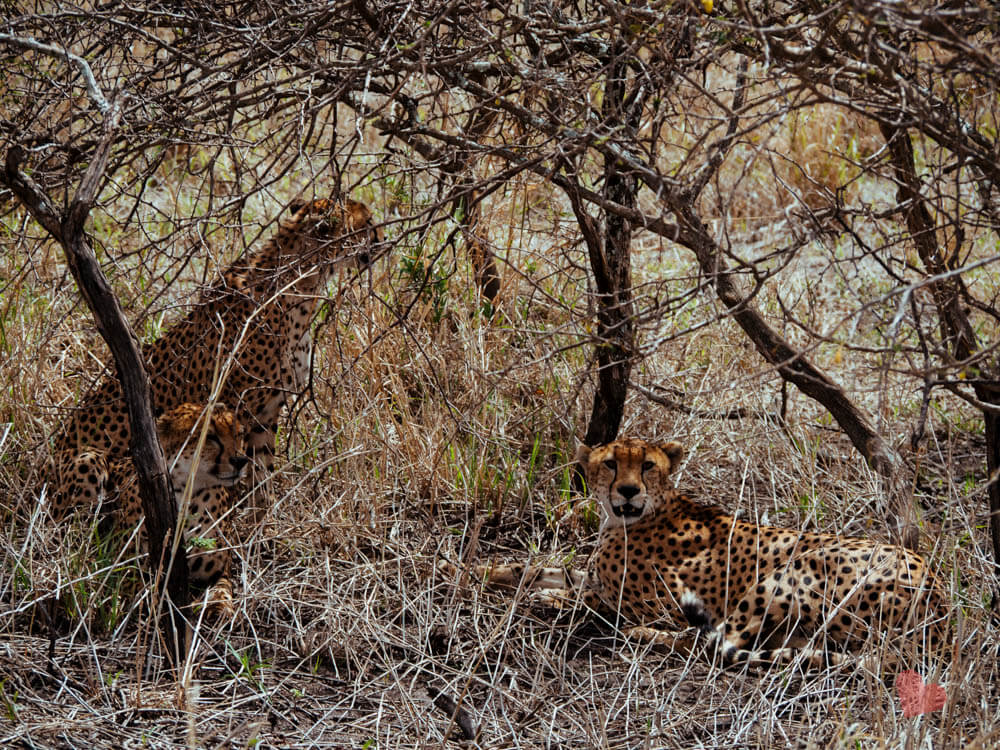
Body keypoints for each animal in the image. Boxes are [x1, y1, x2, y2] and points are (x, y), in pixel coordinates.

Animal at [47, 197, 382, 520]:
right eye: (367, 223)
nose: (382, 239)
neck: (300, 285)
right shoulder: (236, 407)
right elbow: (229, 469)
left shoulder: (266, 415)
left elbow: (261, 474)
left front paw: (263, 521)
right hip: (87, 461)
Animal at [67, 406, 249, 616]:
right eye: (210, 436)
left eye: (239, 434)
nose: (241, 460)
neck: (186, 494)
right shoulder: (128, 570)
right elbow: (145, 592)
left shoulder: (219, 571)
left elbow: (222, 588)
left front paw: (217, 606)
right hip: (89, 459)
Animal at [448, 438, 952, 672]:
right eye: (611, 463)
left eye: (647, 465)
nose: (627, 491)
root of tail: (941, 602)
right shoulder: (592, 574)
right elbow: (533, 569)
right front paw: (466, 569)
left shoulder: (660, 602)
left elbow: (587, 599)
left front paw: (547, 601)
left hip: (784, 576)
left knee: (712, 642)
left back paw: (641, 636)